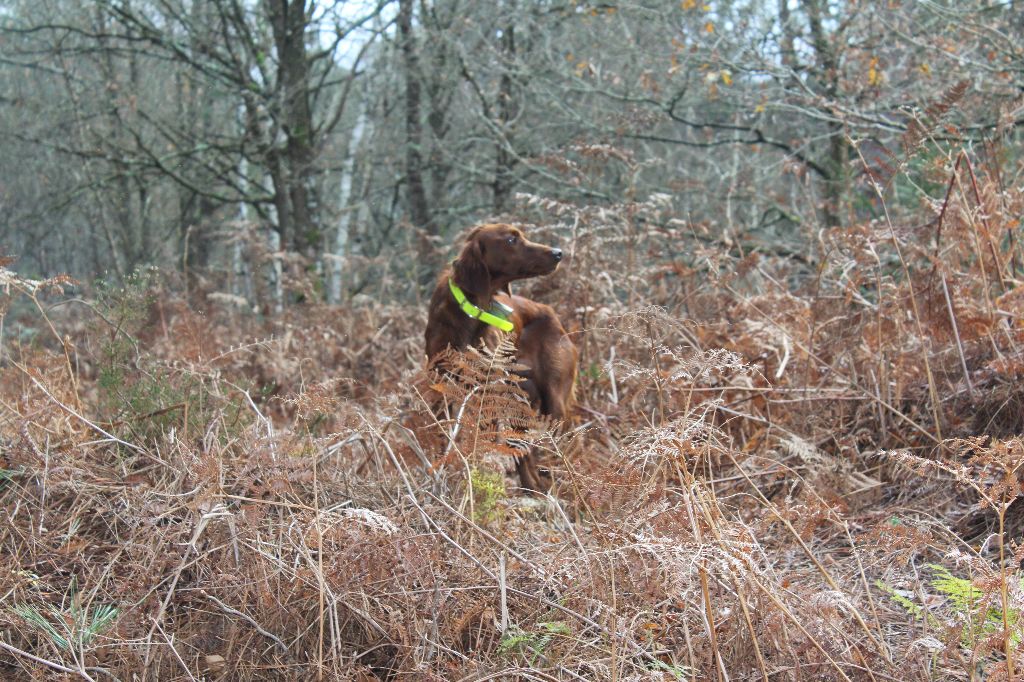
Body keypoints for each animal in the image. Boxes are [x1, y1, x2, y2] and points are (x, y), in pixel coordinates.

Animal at [423, 223, 577, 489]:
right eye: (510, 240)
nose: (558, 253)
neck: (471, 310)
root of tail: (552, 315)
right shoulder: (441, 387)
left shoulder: (488, 392)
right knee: (524, 451)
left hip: (552, 401)